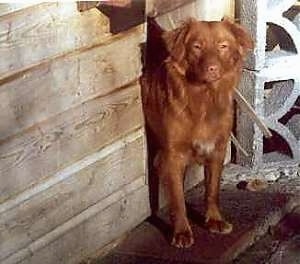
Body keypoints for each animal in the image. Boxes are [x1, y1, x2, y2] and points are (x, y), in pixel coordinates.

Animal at [141, 17, 253, 249]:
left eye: (223, 46)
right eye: (197, 47)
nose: (212, 68)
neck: (204, 98)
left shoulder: (217, 150)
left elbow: (212, 191)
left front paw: (214, 220)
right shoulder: (173, 156)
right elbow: (177, 199)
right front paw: (182, 232)